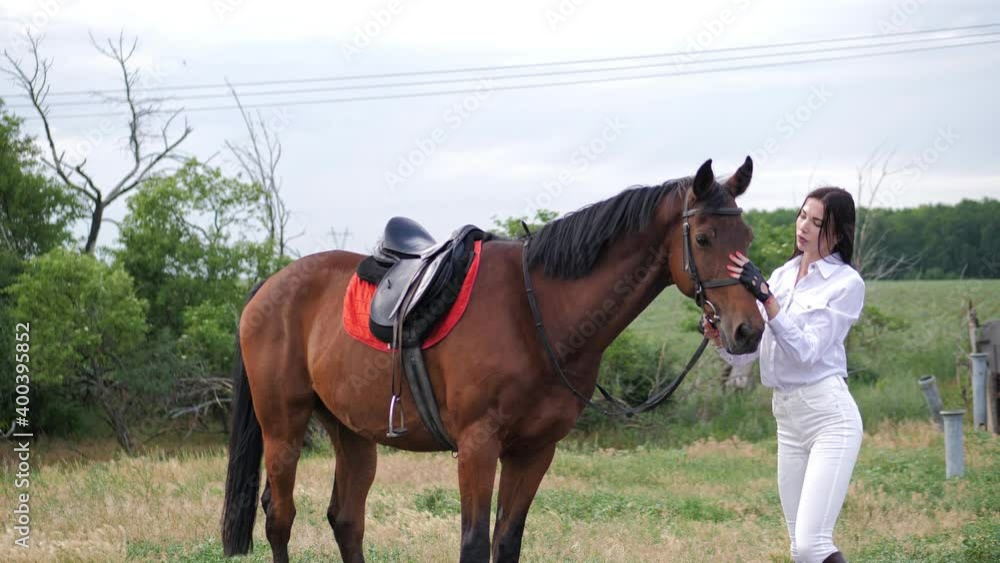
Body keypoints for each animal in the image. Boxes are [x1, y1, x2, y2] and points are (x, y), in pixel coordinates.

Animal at [221, 157, 764, 562]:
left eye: (748, 240)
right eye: (703, 239)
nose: (748, 330)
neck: (535, 311)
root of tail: (269, 285)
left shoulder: (534, 451)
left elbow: (507, 544)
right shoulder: (478, 446)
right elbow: (474, 545)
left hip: (352, 432)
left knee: (346, 518)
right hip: (283, 425)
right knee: (279, 516)